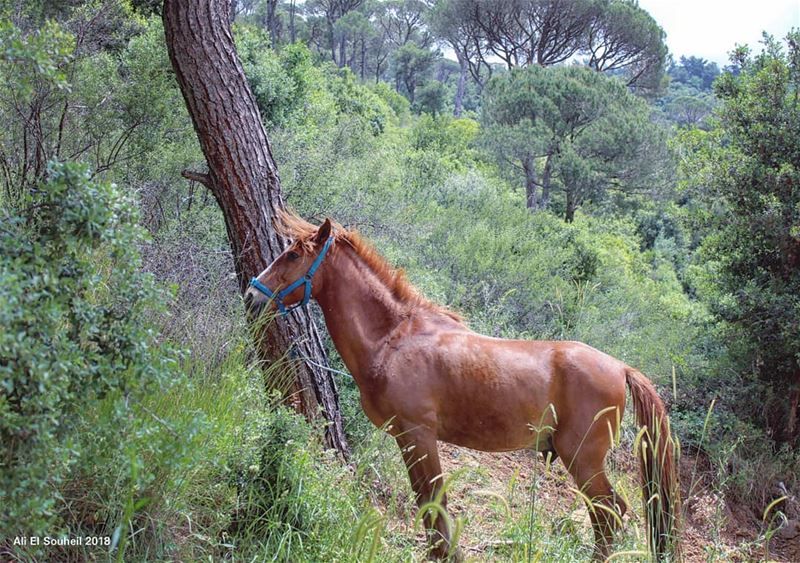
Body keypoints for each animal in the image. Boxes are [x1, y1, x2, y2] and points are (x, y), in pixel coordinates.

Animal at [244, 214, 680, 560]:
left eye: (293, 256)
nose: (250, 295)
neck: (394, 340)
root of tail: (620, 367)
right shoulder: (408, 439)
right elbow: (427, 504)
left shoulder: (419, 435)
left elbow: (435, 503)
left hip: (584, 460)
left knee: (609, 515)